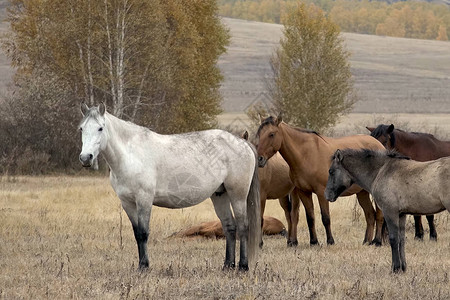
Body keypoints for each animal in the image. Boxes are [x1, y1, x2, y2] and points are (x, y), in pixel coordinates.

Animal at [78, 103, 260, 272]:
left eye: (100, 128)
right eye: (81, 128)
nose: (86, 158)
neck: (131, 155)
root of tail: (242, 142)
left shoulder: (144, 199)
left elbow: (143, 233)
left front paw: (144, 266)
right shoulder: (127, 203)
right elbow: (137, 234)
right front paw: (141, 265)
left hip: (238, 195)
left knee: (243, 227)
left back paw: (243, 267)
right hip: (220, 195)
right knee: (229, 227)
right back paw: (228, 266)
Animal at [256, 114, 386, 244]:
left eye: (271, 134)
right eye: (259, 134)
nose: (259, 159)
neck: (306, 155)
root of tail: (380, 145)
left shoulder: (321, 192)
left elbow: (325, 218)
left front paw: (330, 241)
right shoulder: (304, 192)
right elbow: (310, 218)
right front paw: (314, 242)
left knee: (379, 215)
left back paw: (377, 241)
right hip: (362, 192)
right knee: (370, 215)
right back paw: (366, 242)